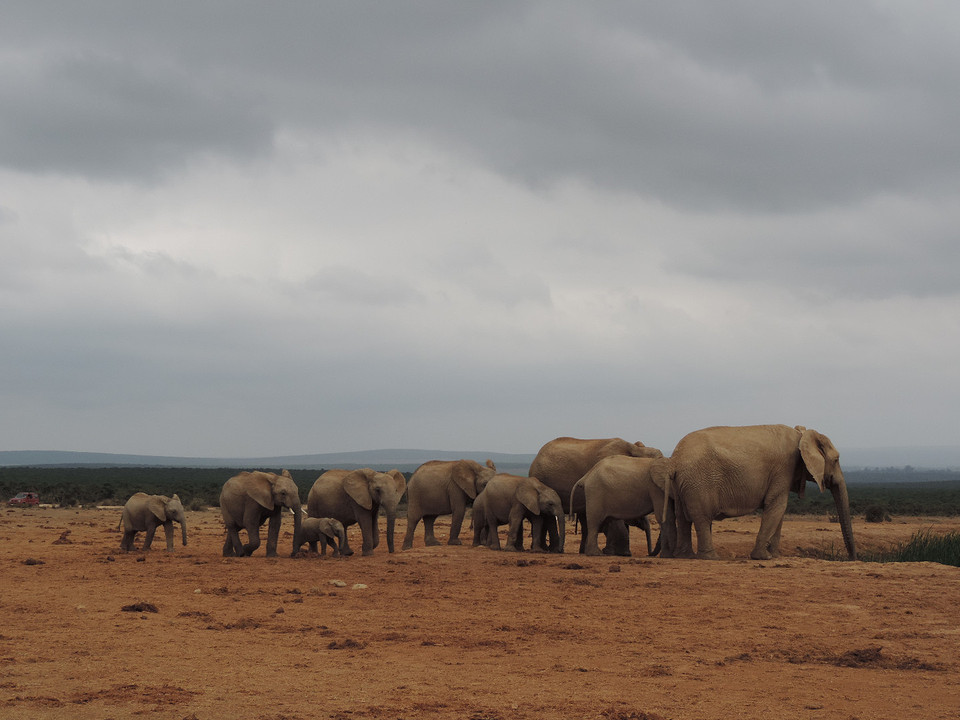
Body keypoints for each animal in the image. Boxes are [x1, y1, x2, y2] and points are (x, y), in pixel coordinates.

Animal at [663, 424, 857, 561]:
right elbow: (777, 506)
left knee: (682, 517)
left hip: (682, 484)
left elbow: (779, 511)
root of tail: (674, 460)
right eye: (836, 459)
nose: (852, 558)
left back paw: (685, 556)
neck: (801, 434)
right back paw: (711, 558)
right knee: (702, 517)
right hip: (698, 483)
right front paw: (764, 557)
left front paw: (774, 556)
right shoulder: (783, 468)